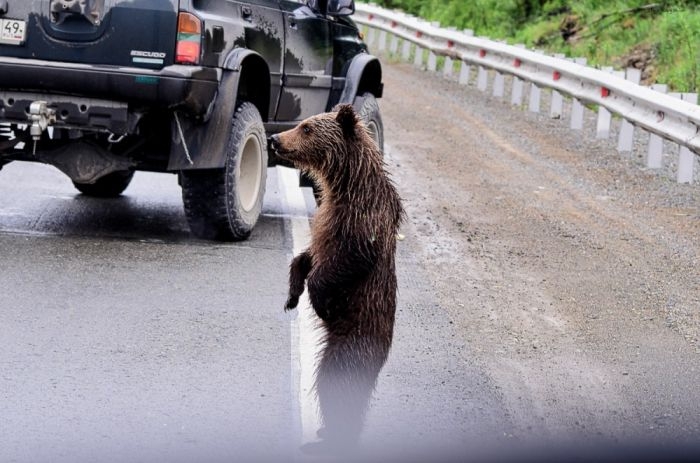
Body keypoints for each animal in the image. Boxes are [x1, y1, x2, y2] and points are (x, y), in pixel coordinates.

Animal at [272, 103, 408, 452]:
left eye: (306, 128)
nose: (276, 139)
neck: (347, 184)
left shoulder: (360, 225)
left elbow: (342, 264)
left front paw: (319, 301)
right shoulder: (327, 217)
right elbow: (307, 256)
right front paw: (291, 295)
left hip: (351, 346)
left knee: (337, 386)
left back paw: (331, 438)